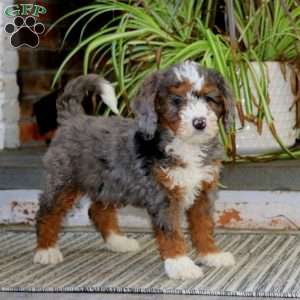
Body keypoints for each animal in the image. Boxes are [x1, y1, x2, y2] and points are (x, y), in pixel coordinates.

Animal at [34, 60, 236, 278]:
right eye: (176, 101)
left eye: (209, 98)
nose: (199, 123)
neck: (186, 146)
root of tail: (73, 118)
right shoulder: (162, 195)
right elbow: (170, 230)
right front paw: (180, 264)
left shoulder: (204, 191)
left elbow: (203, 225)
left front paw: (211, 254)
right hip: (63, 181)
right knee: (47, 212)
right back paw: (46, 250)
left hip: (110, 184)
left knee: (97, 210)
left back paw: (118, 242)